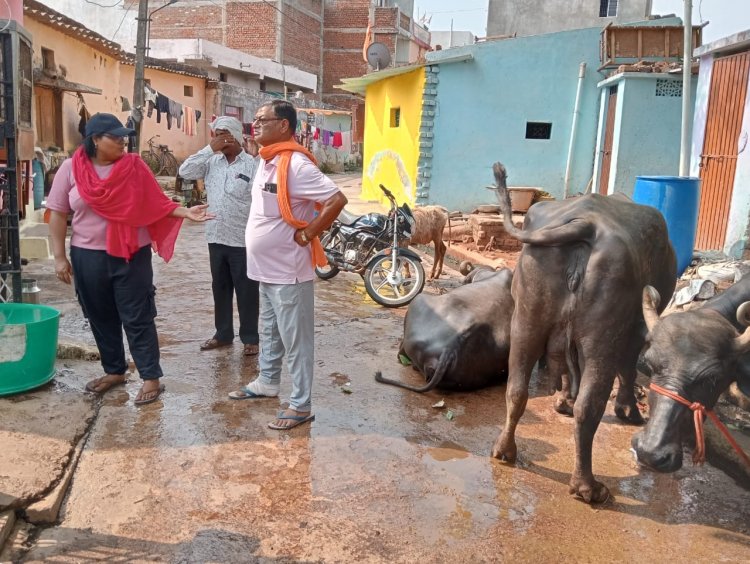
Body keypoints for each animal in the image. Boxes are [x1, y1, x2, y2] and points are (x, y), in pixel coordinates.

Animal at [490, 162, 680, 502]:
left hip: (526, 320)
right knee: (590, 405)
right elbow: (627, 369)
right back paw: (587, 487)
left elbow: (565, 369)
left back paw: (505, 450)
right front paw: (628, 409)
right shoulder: (635, 330)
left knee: (517, 389)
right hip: (602, 338)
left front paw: (563, 400)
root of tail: (586, 225)